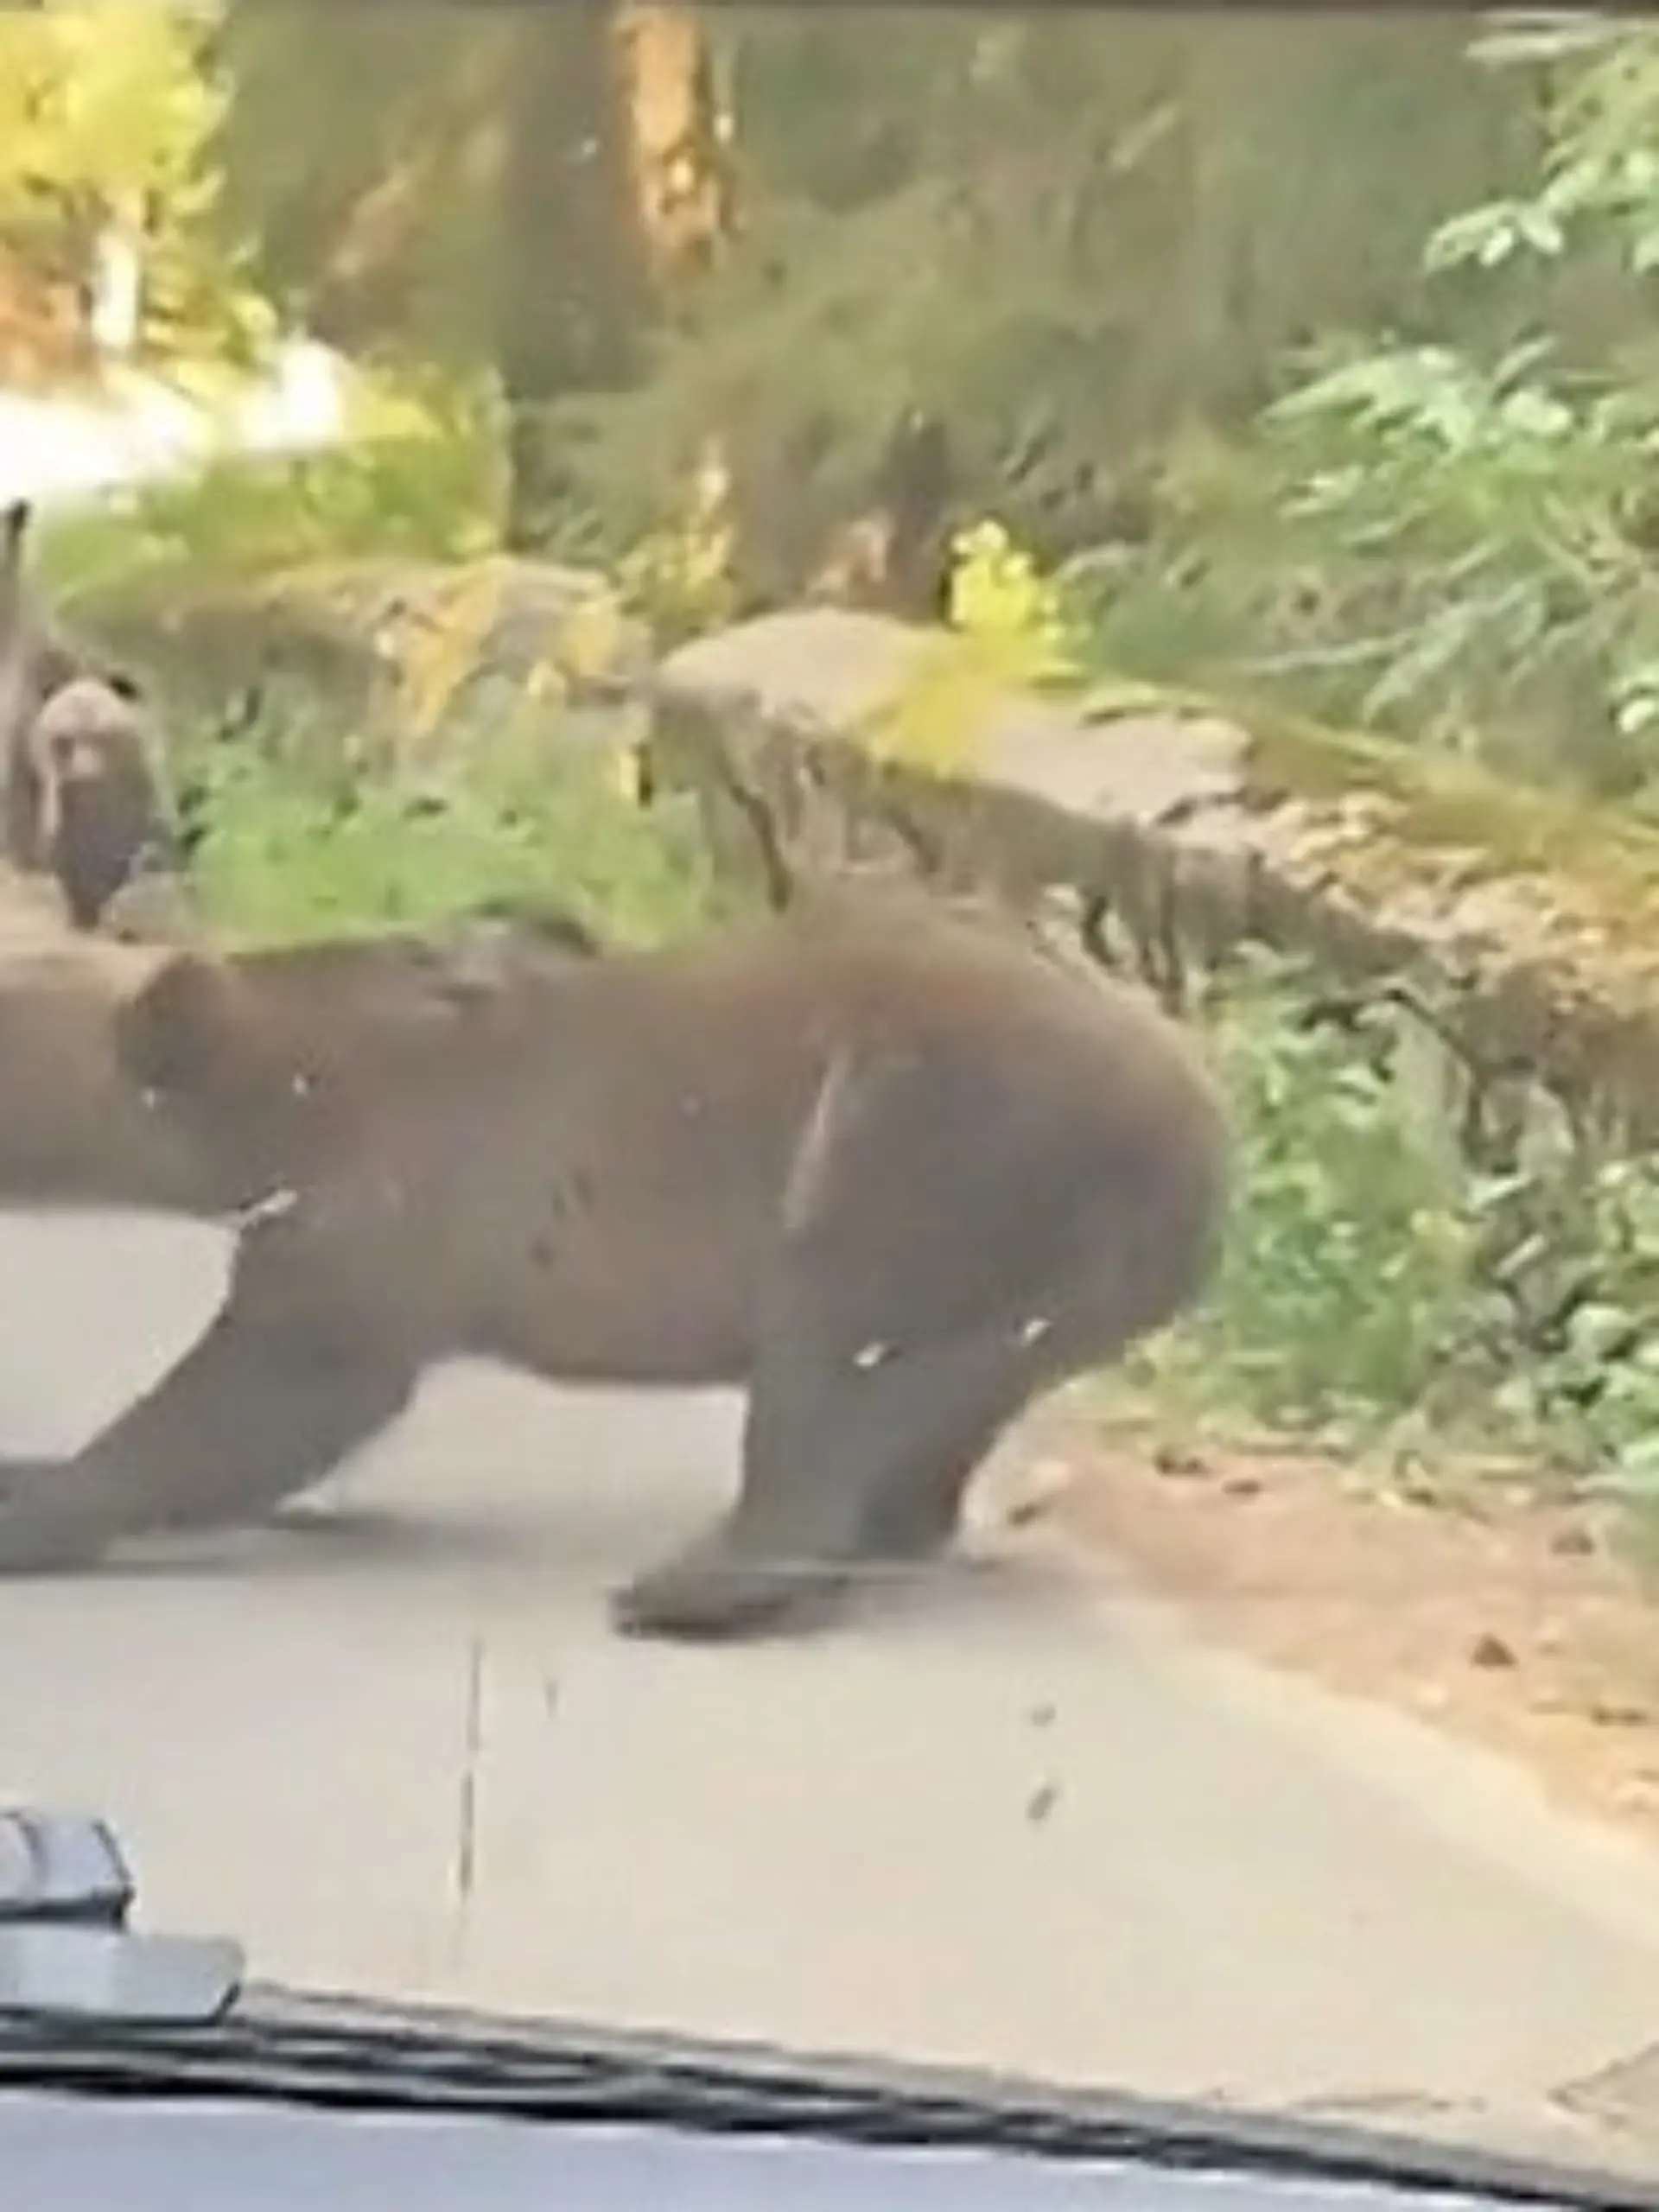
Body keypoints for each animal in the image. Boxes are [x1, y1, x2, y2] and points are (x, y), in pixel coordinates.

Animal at [0, 894, 1229, 1641]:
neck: (270, 1094)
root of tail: (1202, 1124)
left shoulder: (393, 1195)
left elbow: (272, 1386)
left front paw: (41, 1498)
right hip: (1046, 1269)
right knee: (937, 1389)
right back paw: (889, 1529)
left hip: (945, 1135)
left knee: (833, 1340)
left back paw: (697, 1585)